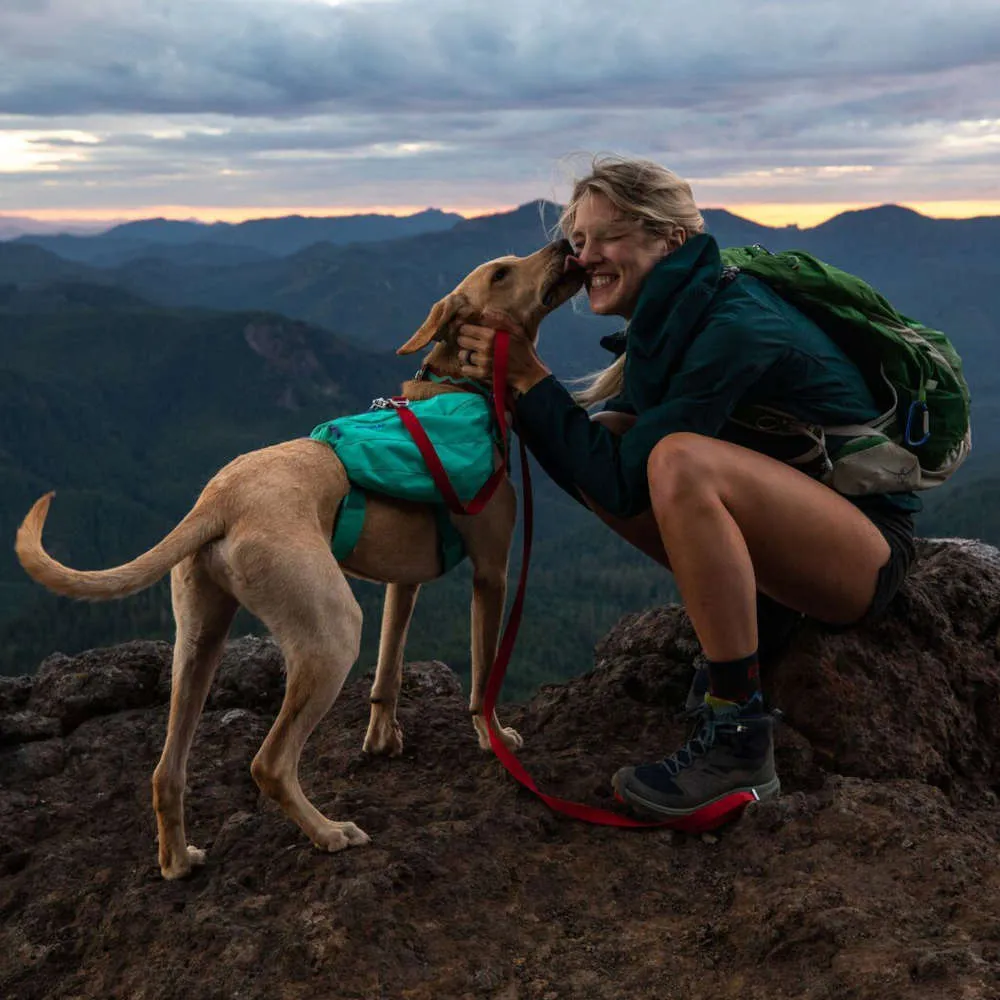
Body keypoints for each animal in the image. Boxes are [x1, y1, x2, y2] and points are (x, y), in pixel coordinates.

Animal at [11, 238, 584, 880]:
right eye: (503, 273)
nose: (564, 243)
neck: (462, 389)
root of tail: (219, 501)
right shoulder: (492, 573)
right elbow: (484, 673)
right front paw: (494, 738)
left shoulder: (403, 584)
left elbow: (389, 668)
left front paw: (382, 739)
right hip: (332, 632)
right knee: (269, 764)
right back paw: (329, 832)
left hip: (199, 643)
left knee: (166, 770)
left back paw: (179, 860)